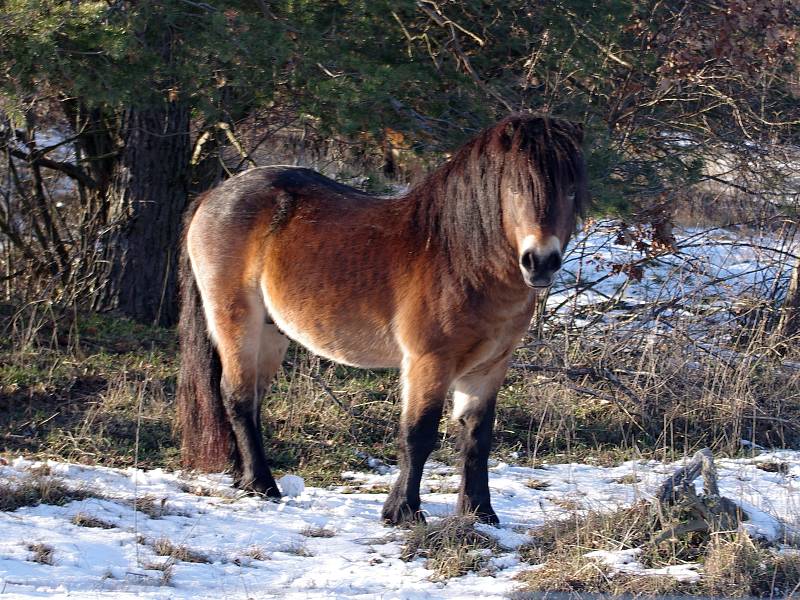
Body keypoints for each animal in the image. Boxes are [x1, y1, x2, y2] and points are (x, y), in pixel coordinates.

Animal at [177, 113, 588, 524]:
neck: (461, 258)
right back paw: (263, 485)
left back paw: (244, 476)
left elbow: (477, 437)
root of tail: (214, 196)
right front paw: (403, 511)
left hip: (271, 331)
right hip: (237, 321)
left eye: (571, 189)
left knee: (251, 400)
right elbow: (418, 434)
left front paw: (480, 512)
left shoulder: (489, 368)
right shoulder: (429, 362)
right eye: (516, 189)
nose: (541, 261)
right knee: (237, 396)